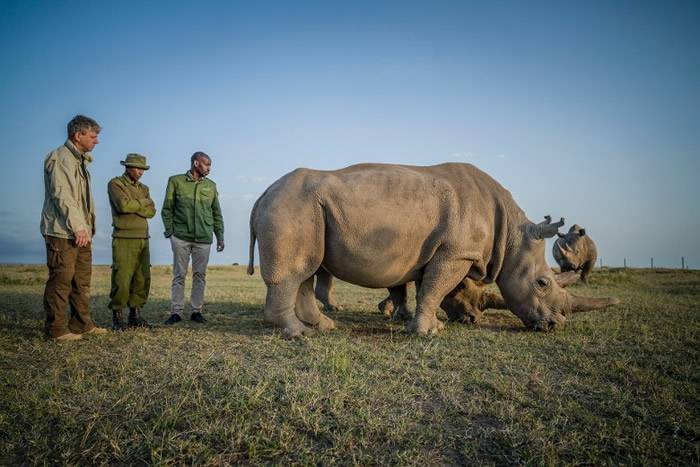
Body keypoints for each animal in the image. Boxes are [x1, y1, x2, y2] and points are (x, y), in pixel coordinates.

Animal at [247, 163, 616, 338]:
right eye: (542, 283)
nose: (555, 325)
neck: (512, 234)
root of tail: (263, 194)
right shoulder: (456, 253)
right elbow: (436, 288)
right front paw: (429, 332)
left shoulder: (444, 252)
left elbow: (429, 288)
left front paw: (429, 324)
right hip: (293, 206)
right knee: (296, 272)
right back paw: (297, 334)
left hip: (303, 208)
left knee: (307, 270)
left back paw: (322, 327)